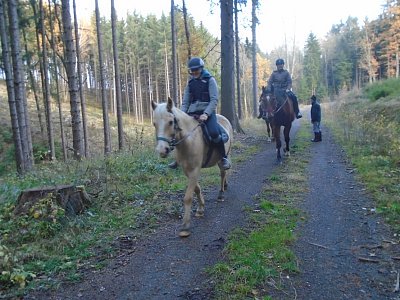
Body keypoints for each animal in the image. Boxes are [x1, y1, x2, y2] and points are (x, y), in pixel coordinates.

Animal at [151, 98, 233, 237]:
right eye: (154, 124)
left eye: (170, 122)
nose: (162, 150)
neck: (188, 140)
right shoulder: (187, 170)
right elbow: (197, 189)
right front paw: (200, 208)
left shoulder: (195, 170)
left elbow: (188, 197)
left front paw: (185, 226)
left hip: (225, 155)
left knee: (223, 173)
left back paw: (221, 194)